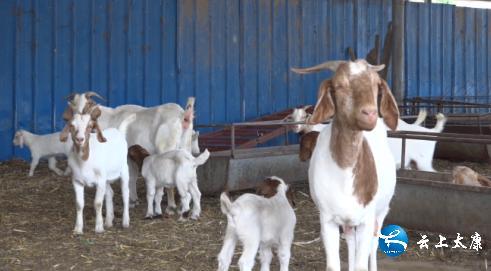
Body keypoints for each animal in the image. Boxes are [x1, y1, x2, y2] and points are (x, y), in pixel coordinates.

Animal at [60, 105, 135, 235]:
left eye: (90, 126)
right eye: (72, 126)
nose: (80, 139)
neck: (84, 162)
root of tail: (118, 131)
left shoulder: (100, 181)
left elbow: (98, 203)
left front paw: (99, 228)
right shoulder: (77, 181)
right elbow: (79, 204)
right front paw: (78, 229)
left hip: (124, 171)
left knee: (125, 194)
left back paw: (125, 222)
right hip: (106, 178)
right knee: (110, 193)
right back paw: (108, 222)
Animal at [292, 59, 400, 271]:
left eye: (376, 84)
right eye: (340, 85)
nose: (369, 113)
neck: (345, 175)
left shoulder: (367, 219)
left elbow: (362, 262)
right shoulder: (327, 220)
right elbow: (334, 264)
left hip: (381, 211)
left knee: (374, 243)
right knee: (350, 239)